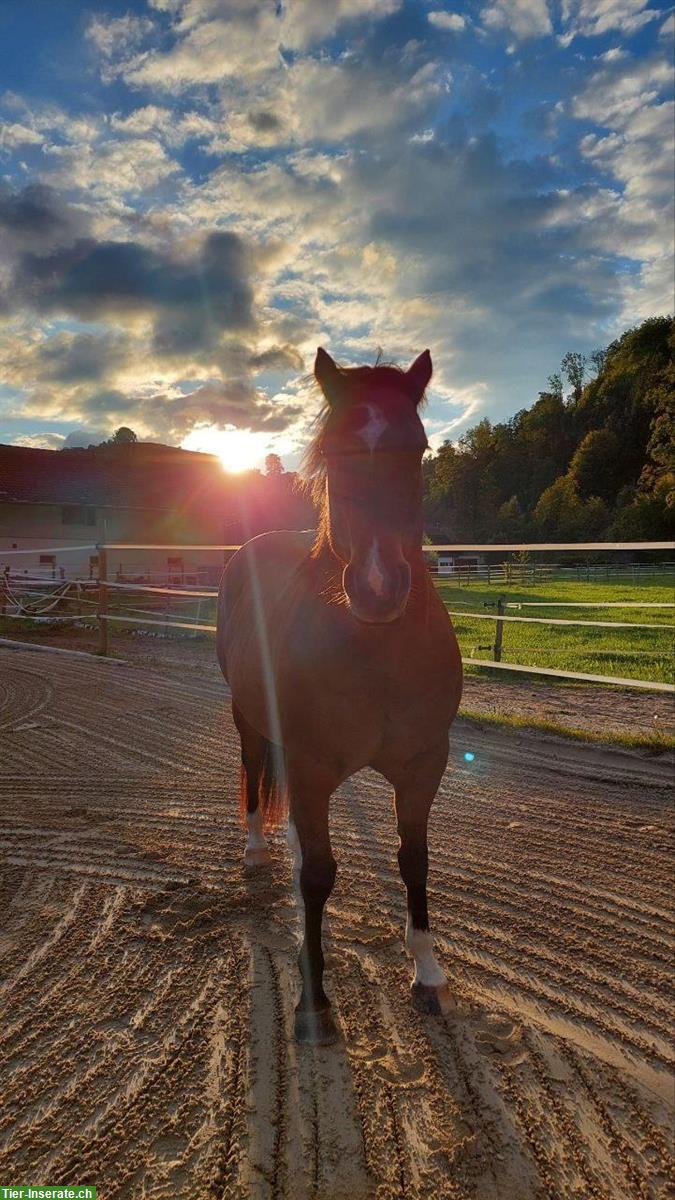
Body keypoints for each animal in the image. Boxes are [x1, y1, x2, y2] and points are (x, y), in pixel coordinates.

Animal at [214, 345, 461, 1041]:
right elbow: (321, 876)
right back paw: (255, 850)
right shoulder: (313, 764)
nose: (378, 589)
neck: (375, 653)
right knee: (253, 772)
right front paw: (314, 999)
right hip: (249, 718)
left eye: (417, 447)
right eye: (334, 451)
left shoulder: (424, 764)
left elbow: (414, 860)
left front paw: (427, 973)